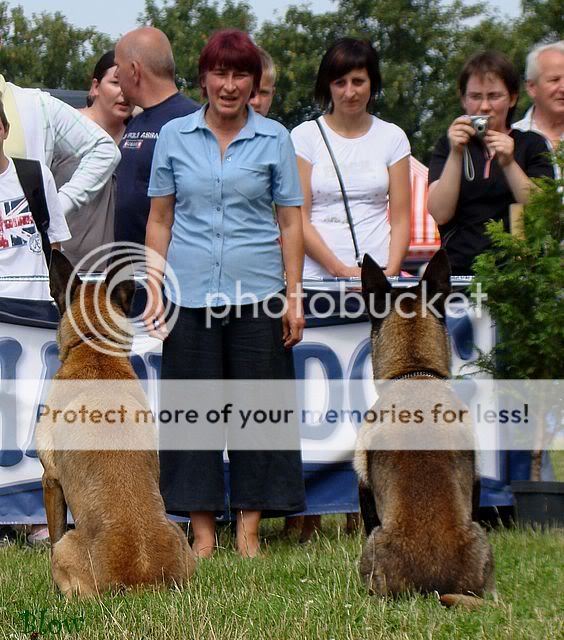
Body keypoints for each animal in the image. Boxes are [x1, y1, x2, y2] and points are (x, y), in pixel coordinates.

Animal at [35, 250, 195, 598]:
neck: (94, 345)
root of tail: (140, 584)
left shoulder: (51, 479)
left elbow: (53, 532)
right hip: (179, 533)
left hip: (66, 547)